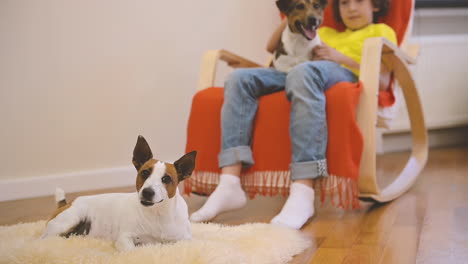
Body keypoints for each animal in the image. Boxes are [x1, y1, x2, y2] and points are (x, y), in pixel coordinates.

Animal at [41, 136, 198, 252]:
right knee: (42, 239)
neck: (158, 214)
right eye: (145, 173)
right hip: (68, 221)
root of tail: (67, 203)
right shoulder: (125, 239)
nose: (147, 192)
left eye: (166, 179)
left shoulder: (185, 240)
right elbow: (132, 251)